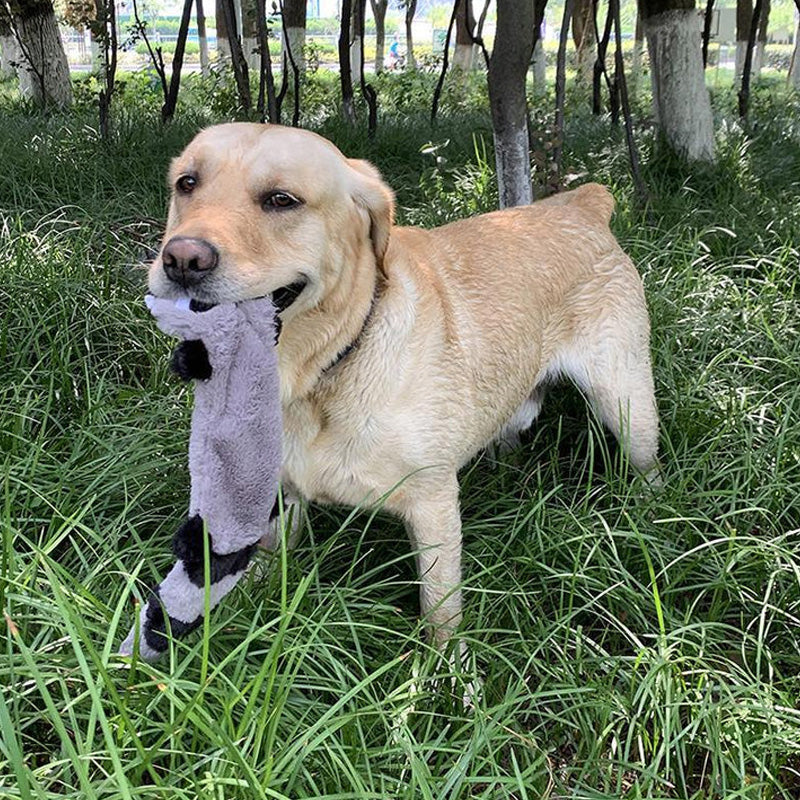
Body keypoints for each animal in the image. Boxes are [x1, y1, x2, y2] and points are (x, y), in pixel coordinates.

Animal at [148, 123, 656, 648]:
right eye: (187, 184)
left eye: (281, 199)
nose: (182, 259)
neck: (326, 368)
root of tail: (581, 204)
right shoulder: (278, 499)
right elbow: (264, 566)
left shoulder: (433, 506)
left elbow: (440, 612)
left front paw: (444, 668)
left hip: (626, 405)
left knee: (647, 467)